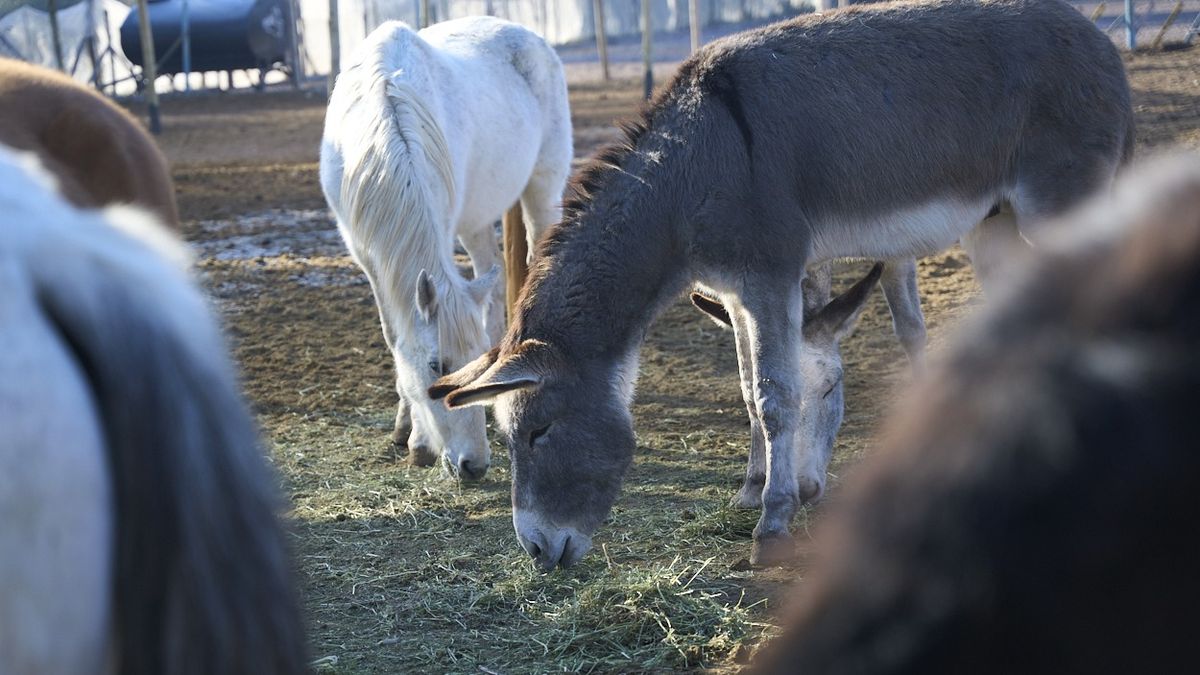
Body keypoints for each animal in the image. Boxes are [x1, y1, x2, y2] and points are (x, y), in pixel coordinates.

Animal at [320, 17, 572, 480]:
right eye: (436, 365)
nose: (475, 465)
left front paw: (418, 442)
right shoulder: (368, 260)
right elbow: (395, 337)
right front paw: (406, 428)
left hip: (542, 191)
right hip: (477, 222)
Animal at [430, 0, 1133, 570]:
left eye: (538, 433)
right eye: (512, 438)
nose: (537, 550)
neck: (696, 162)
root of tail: (1101, 45)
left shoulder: (769, 278)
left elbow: (774, 396)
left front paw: (772, 525)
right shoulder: (739, 292)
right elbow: (748, 388)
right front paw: (751, 490)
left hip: (1056, 208)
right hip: (994, 223)